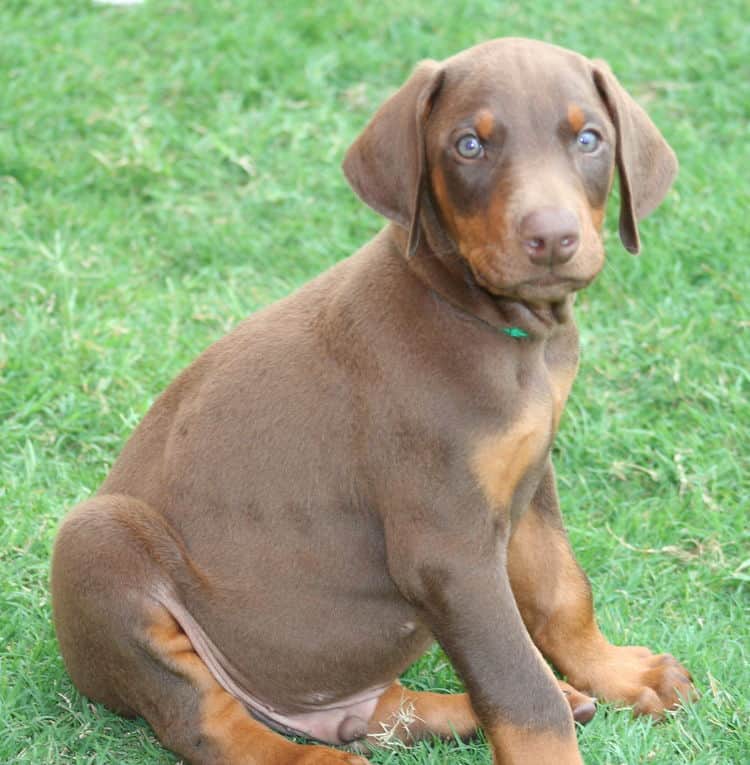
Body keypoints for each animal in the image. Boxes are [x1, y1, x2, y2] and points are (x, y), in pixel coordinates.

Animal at [53, 38, 696, 760]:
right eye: (469, 145)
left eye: (589, 139)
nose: (552, 238)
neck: (488, 322)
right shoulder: (447, 547)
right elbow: (519, 687)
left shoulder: (532, 476)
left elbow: (561, 589)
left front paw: (615, 672)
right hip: (98, 543)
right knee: (206, 722)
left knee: (375, 712)